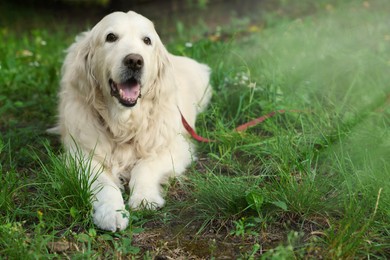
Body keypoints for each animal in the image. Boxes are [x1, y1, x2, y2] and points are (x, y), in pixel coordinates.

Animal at [54, 11, 210, 232]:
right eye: (111, 37)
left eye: (147, 40)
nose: (135, 61)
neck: (123, 122)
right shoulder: (80, 156)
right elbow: (103, 183)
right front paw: (111, 212)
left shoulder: (174, 147)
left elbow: (144, 167)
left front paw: (144, 198)